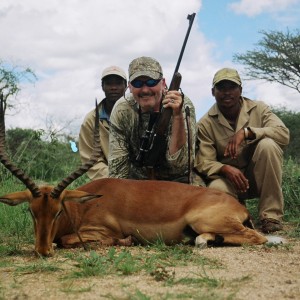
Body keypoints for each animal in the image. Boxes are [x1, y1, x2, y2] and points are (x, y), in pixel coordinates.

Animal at [0, 97, 268, 256]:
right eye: (32, 211)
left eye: (57, 211)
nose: (42, 250)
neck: (81, 208)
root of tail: (239, 207)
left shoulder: (100, 232)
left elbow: (67, 241)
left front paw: (127, 241)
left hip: (205, 220)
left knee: (259, 237)